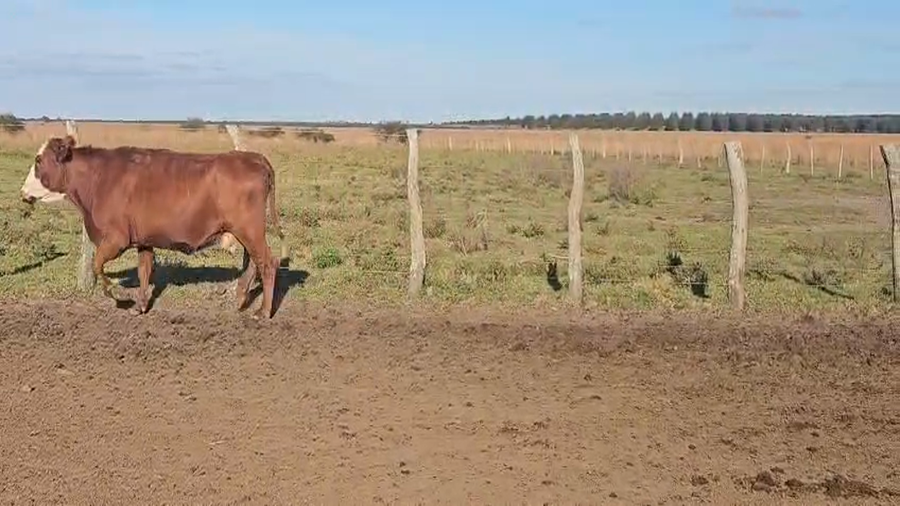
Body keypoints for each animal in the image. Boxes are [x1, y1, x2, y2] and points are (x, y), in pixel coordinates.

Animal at [20, 135, 289, 319]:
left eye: (38, 160)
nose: (22, 192)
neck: (99, 180)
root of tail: (253, 157)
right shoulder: (143, 240)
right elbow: (144, 271)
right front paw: (139, 306)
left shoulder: (116, 239)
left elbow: (97, 265)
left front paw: (119, 294)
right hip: (246, 232)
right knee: (254, 262)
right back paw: (242, 297)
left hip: (250, 230)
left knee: (268, 263)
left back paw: (263, 312)